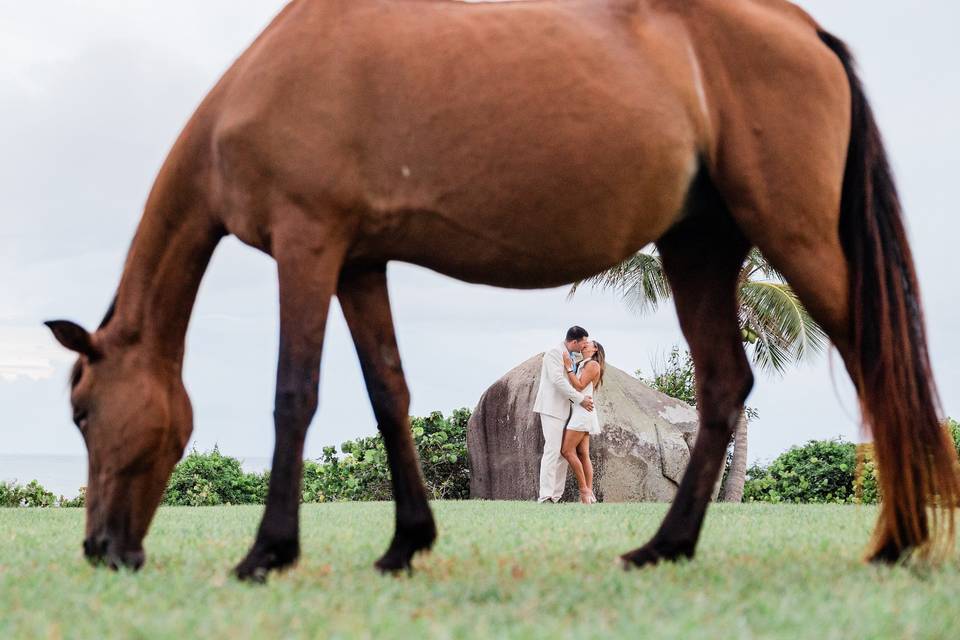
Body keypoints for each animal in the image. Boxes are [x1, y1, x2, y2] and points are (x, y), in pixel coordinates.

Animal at [47, 0, 959, 580]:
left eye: (83, 412)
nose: (103, 549)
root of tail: (801, 26)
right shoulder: (357, 264)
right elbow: (389, 395)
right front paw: (405, 544)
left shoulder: (306, 247)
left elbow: (293, 395)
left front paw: (268, 553)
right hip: (699, 248)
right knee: (725, 385)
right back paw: (662, 548)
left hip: (793, 234)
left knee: (877, 362)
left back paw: (896, 543)